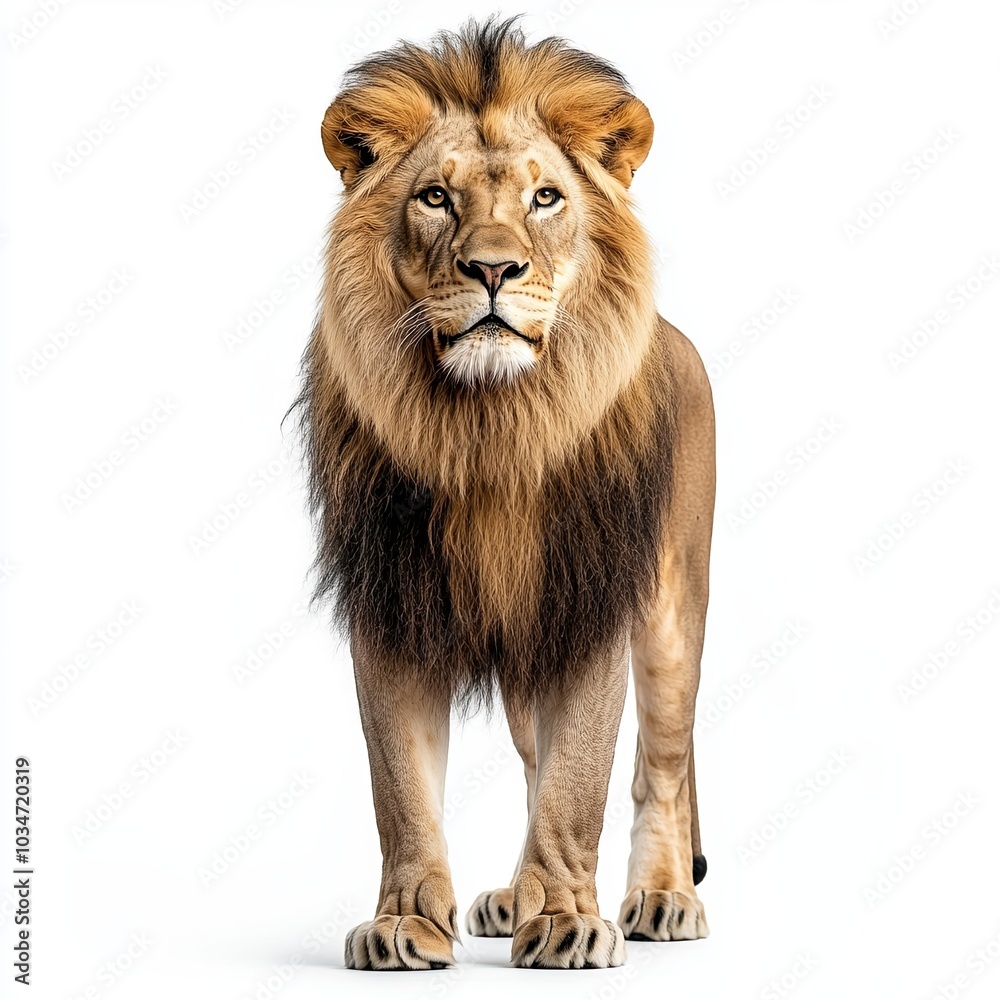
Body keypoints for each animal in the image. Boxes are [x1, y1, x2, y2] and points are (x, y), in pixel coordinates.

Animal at [298, 18, 715, 971]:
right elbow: (402, 789)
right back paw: (509, 894)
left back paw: (662, 898)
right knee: (532, 761)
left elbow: (580, 783)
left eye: (547, 198)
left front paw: (565, 922)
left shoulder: (591, 600)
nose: (494, 269)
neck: (491, 428)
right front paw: (405, 924)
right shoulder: (394, 599)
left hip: (673, 611)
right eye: (436, 198)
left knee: (662, 765)